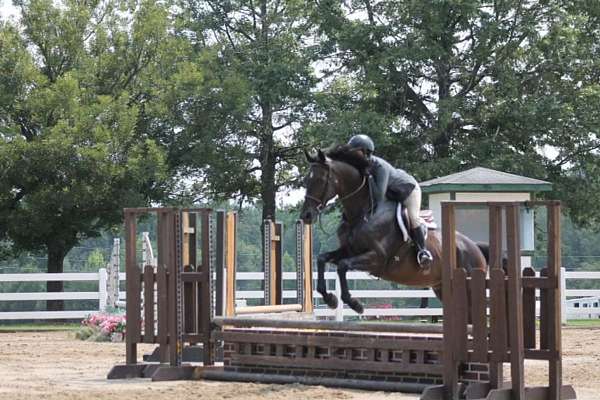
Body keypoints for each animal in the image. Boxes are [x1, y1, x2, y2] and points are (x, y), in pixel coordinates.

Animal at [300, 145, 488, 314]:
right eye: (306, 181)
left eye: (320, 180)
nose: (306, 216)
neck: (363, 212)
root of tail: (474, 246)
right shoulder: (349, 250)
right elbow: (323, 259)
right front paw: (330, 299)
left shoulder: (378, 258)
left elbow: (342, 266)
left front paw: (355, 304)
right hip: (441, 287)